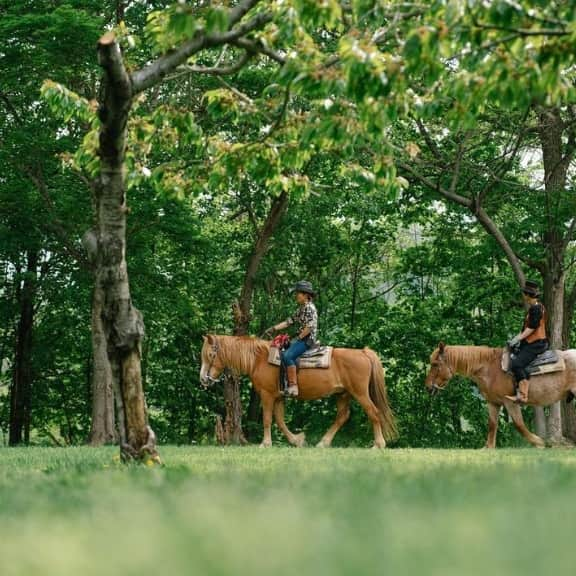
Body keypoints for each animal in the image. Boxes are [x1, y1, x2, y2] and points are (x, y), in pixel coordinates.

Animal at [199, 336, 396, 448]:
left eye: (210, 354)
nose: (203, 379)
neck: (259, 359)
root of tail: (363, 352)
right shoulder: (278, 397)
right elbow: (279, 420)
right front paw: (297, 440)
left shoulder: (267, 395)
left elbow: (267, 419)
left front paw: (265, 443)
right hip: (343, 394)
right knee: (342, 416)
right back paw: (323, 443)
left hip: (360, 393)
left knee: (373, 412)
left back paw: (378, 444)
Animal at [424, 342, 576, 450]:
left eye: (435, 364)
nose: (428, 387)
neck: (489, 368)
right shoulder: (493, 403)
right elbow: (492, 424)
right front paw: (488, 447)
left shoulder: (510, 402)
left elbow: (519, 424)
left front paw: (538, 442)